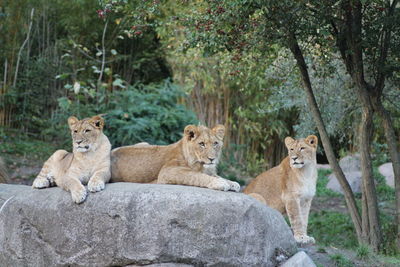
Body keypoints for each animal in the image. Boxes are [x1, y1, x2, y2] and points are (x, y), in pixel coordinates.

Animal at [111, 124, 239, 192]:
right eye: (202, 144)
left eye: (215, 143)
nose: (212, 159)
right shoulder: (168, 171)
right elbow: (197, 176)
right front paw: (220, 183)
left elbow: (217, 175)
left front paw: (232, 183)